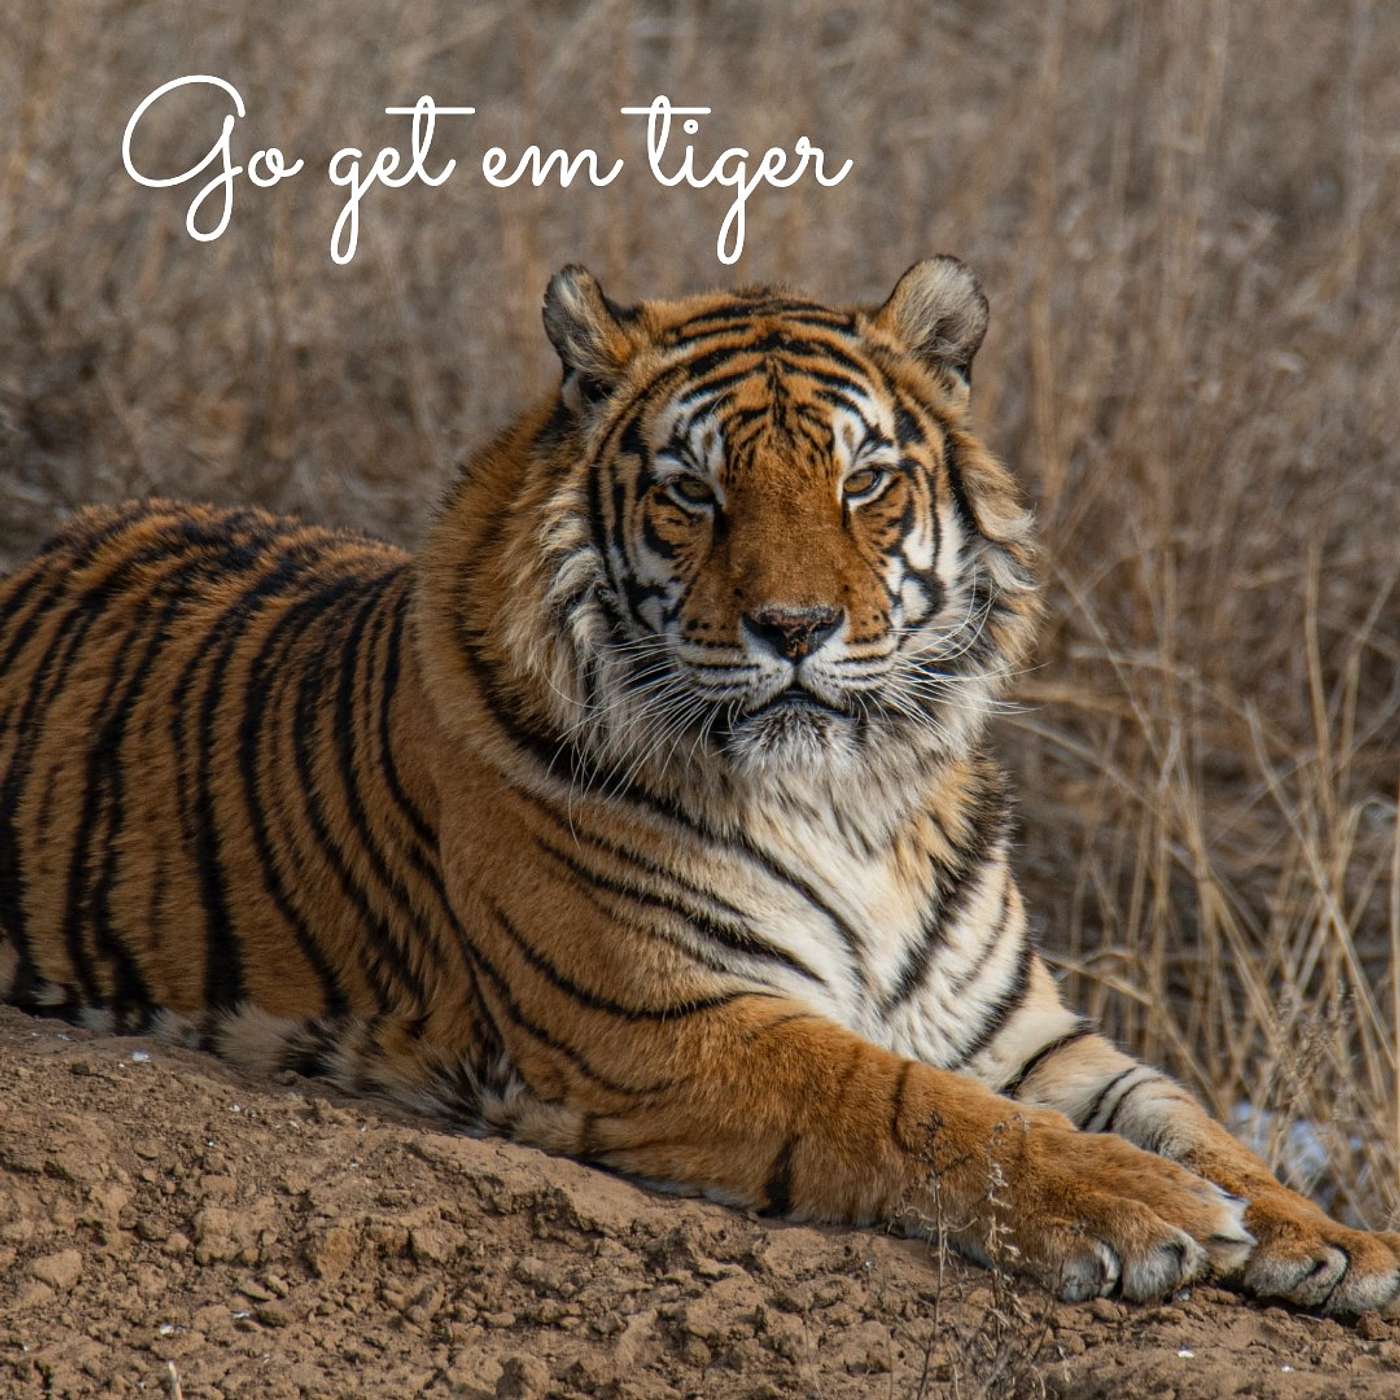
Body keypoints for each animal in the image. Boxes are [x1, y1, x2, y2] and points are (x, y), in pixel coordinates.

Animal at [2, 257, 1397, 1315]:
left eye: (862, 482)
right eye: (692, 492)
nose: (795, 627)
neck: (851, 801)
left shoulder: (1019, 1028)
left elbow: (1182, 1108)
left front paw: (1328, 1235)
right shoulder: (663, 1020)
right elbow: (916, 1104)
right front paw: (1142, 1207)